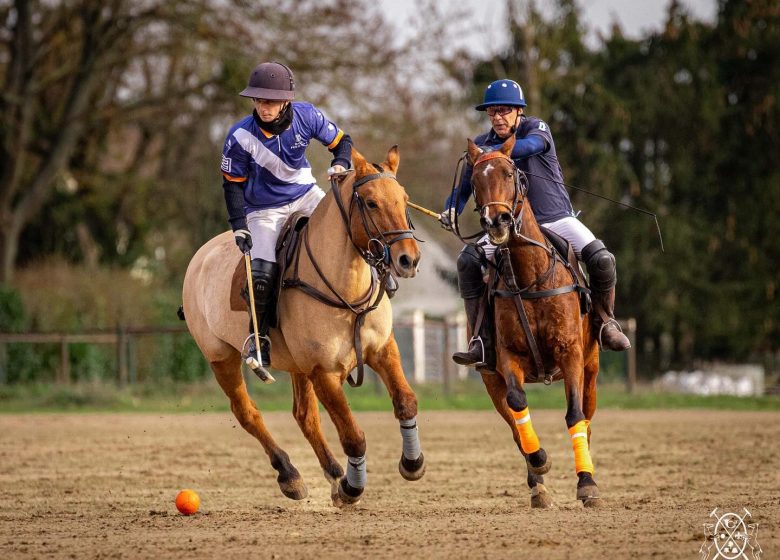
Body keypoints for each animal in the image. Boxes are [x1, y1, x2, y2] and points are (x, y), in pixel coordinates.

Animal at [181, 145, 426, 508]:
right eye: (370, 202)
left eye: (405, 199)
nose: (409, 259)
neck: (345, 291)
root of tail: (200, 255)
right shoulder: (324, 371)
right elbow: (353, 435)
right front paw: (352, 488)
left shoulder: (382, 350)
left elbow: (406, 401)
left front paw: (412, 464)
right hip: (220, 357)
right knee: (246, 412)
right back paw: (291, 475)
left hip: (296, 365)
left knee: (304, 416)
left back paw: (334, 473)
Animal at [466, 136, 600, 508]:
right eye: (474, 181)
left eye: (511, 174)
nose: (497, 221)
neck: (531, 277)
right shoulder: (507, 357)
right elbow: (518, 405)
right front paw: (540, 462)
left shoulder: (571, 354)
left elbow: (574, 415)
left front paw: (587, 484)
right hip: (489, 378)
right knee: (514, 424)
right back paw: (537, 483)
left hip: (592, 367)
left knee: (587, 416)